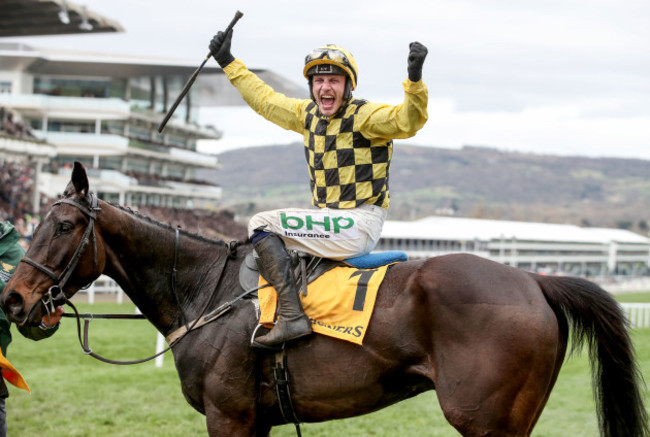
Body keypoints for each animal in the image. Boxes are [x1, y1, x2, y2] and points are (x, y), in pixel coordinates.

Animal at [0, 161, 644, 436]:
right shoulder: (255, 421)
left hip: (485, 422)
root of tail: (533, 279)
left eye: (62, 226)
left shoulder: (228, 417)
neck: (204, 290)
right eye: (37, 222)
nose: (12, 300)